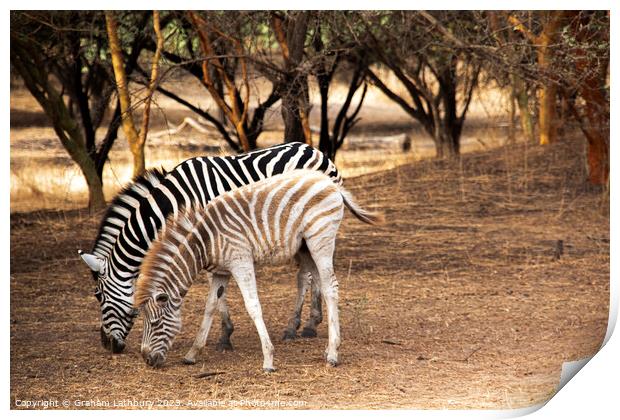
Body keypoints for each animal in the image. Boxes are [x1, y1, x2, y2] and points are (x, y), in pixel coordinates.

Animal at [77, 142, 342, 354]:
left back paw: (302, 325)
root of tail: (315, 150)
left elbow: (215, 288)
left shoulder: (207, 235)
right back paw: (307, 323)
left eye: (98, 295)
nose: (107, 346)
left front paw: (225, 335)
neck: (175, 201)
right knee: (310, 271)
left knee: (310, 273)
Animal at [136, 169, 382, 370]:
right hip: (305, 247)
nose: (147, 359)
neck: (204, 242)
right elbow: (210, 307)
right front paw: (192, 353)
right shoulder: (221, 271)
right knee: (317, 281)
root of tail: (328, 181)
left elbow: (253, 306)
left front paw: (268, 359)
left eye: (155, 323)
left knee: (331, 288)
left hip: (321, 239)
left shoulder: (240, 260)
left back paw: (332, 354)